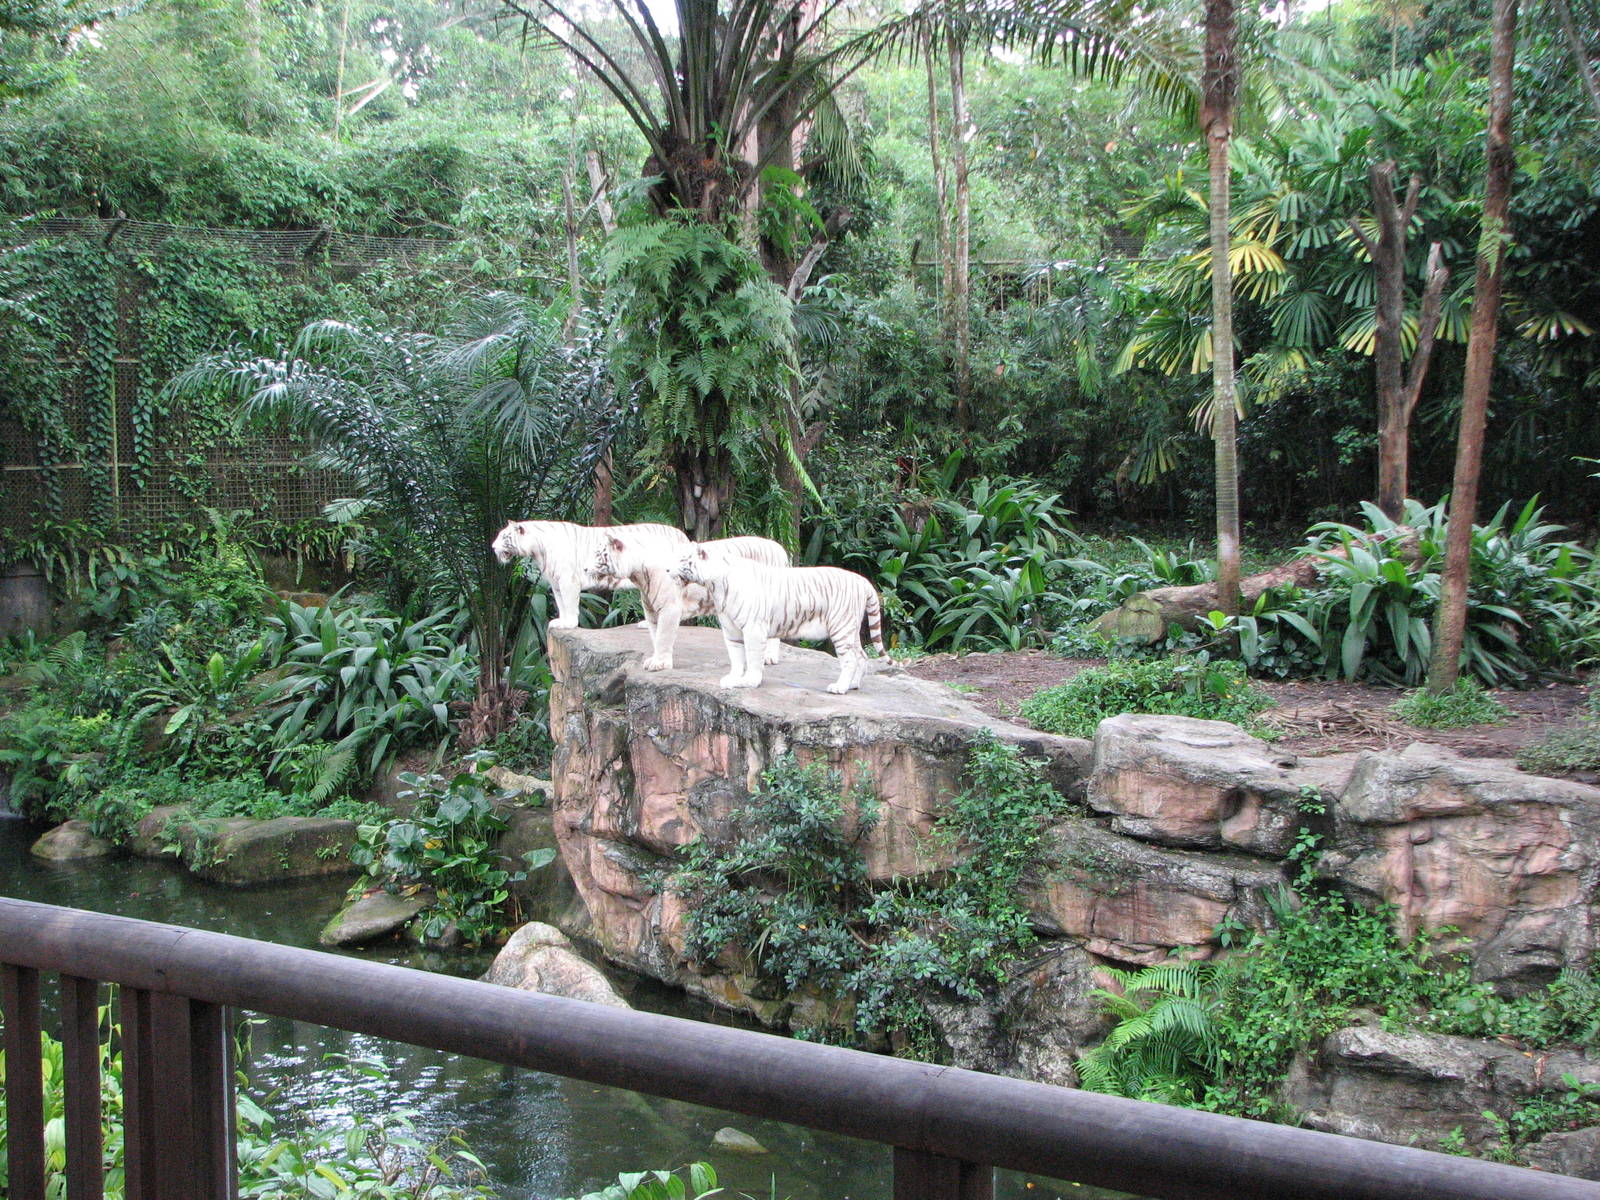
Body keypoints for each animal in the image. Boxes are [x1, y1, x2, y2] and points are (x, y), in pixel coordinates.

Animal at [491, 520, 689, 629]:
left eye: (503, 537)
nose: (492, 547)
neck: (538, 550)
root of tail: (680, 534)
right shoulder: (556, 583)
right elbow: (561, 603)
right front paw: (561, 622)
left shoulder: (567, 580)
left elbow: (569, 603)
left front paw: (570, 623)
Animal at [593, 533, 790, 671]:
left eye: (599, 555)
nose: (586, 568)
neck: (639, 575)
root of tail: (779, 548)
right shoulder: (651, 610)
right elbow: (655, 635)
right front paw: (655, 659)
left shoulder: (669, 608)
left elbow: (663, 636)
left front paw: (660, 664)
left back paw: (768, 657)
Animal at [671, 548, 885, 694]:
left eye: (682, 559)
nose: (666, 569)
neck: (716, 586)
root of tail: (863, 581)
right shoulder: (731, 630)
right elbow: (736, 657)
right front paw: (733, 678)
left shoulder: (753, 629)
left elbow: (753, 657)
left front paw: (749, 681)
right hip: (850, 629)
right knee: (862, 656)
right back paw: (853, 685)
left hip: (841, 628)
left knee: (850, 659)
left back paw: (840, 687)